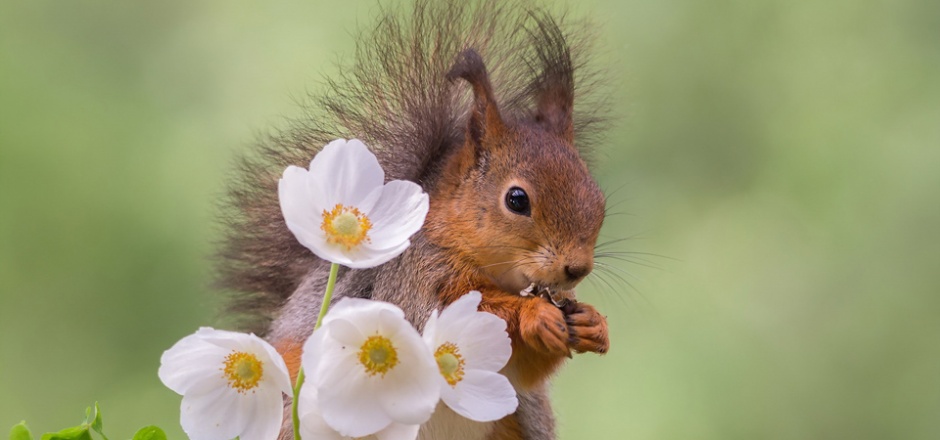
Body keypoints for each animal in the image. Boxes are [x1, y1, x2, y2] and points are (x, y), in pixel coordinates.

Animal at [218, 1, 616, 438]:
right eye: (517, 200)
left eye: (599, 197)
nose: (577, 269)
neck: (496, 273)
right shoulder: (412, 281)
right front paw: (535, 314)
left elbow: (524, 371)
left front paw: (593, 322)